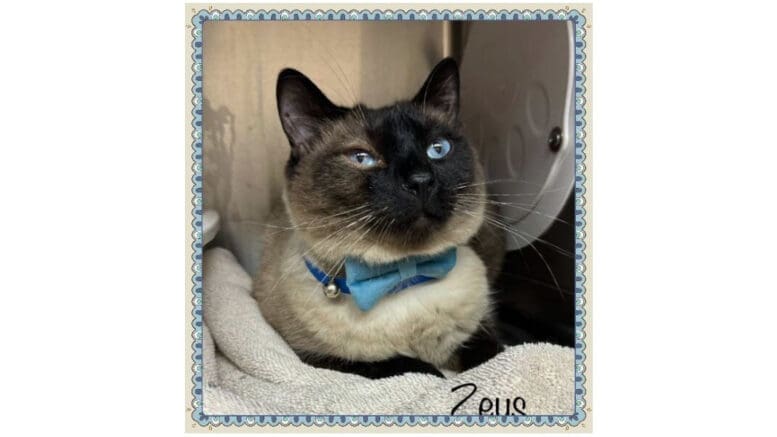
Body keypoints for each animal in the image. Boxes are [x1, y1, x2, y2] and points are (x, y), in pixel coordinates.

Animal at [250, 58, 504, 378]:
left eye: (437, 149)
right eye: (362, 158)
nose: (420, 180)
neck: (403, 275)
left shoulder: (481, 331)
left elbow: (493, 356)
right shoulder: (320, 357)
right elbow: (414, 367)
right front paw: (436, 374)